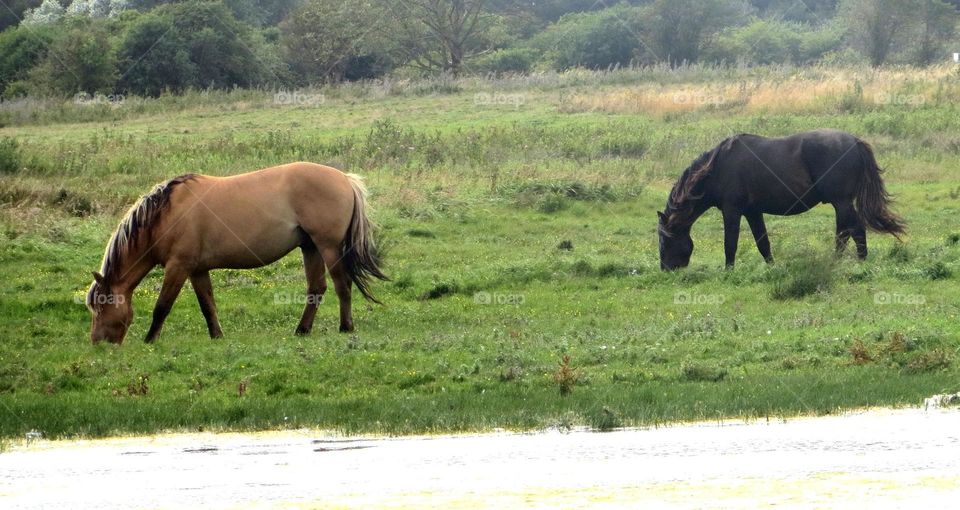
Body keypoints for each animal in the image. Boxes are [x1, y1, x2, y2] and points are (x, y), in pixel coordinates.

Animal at [85, 161, 386, 344]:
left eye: (101, 305)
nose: (98, 343)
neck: (164, 214)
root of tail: (345, 179)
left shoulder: (178, 267)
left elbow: (162, 307)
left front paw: (150, 339)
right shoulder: (197, 270)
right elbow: (207, 305)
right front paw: (216, 336)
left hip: (328, 247)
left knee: (342, 285)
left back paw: (346, 326)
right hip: (310, 247)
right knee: (317, 288)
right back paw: (302, 329)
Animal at [656, 129, 904, 268]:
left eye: (664, 240)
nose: (666, 268)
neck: (717, 167)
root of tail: (855, 141)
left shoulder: (732, 210)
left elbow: (730, 243)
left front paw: (729, 270)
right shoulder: (753, 212)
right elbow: (763, 242)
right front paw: (772, 267)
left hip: (841, 202)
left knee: (851, 230)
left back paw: (851, 261)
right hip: (841, 203)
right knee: (847, 231)